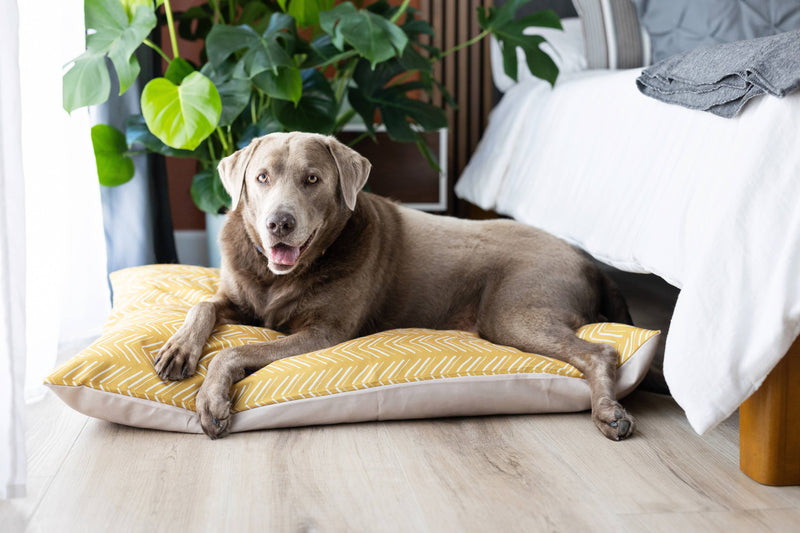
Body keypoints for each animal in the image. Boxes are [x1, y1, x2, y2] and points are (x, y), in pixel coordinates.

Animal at [153, 132, 636, 440]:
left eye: (312, 179)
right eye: (262, 178)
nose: (279, 224)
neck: (279, 277)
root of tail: (587, 260)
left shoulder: (322, 333)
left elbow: (235, 351)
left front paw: (212, 401)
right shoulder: (237, 298)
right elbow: (202, 304)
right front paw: (178, 350)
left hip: (512, 312)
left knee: (602, 351)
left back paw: (610, 413)